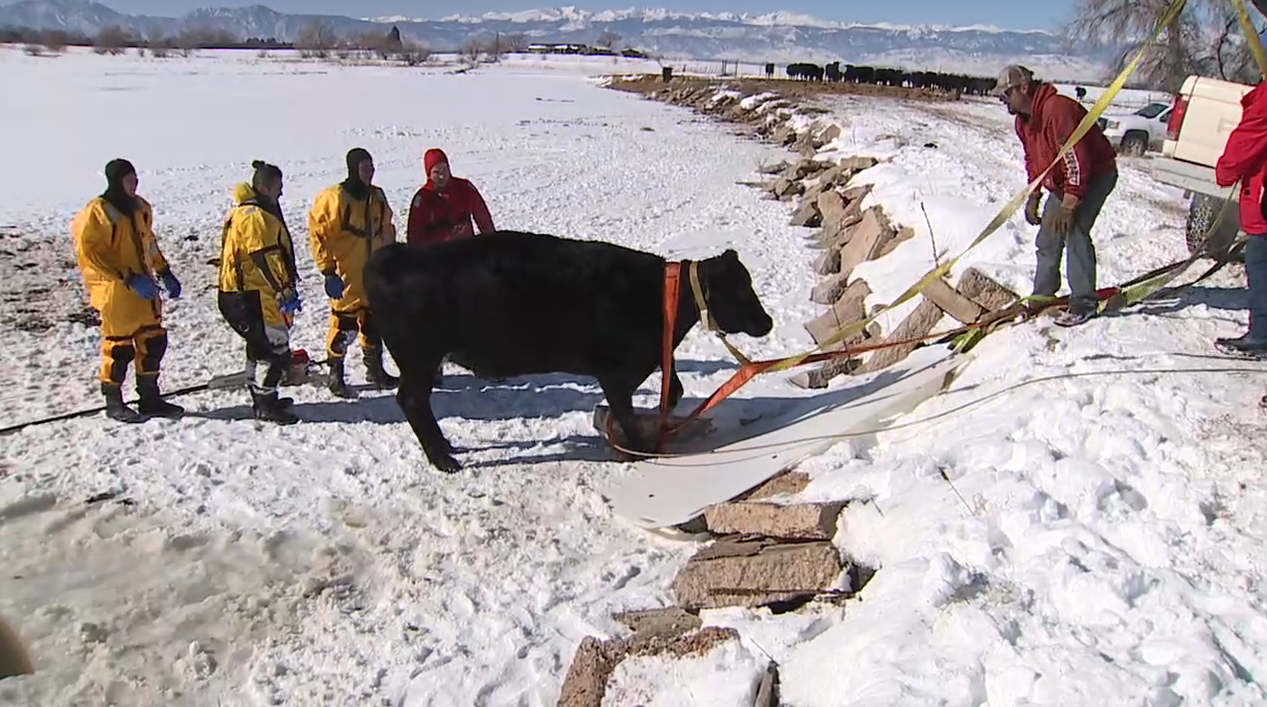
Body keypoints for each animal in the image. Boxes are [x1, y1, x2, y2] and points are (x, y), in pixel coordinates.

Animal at [362, 231, 776, 473]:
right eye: (740, 290)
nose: (768, 322)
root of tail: (393, 257)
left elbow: (673, 387)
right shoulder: (616, 372)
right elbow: (626, 411)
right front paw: (638, 449)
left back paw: (447, 448)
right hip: (419, 359)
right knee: (411, 401)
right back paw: (443, 459)